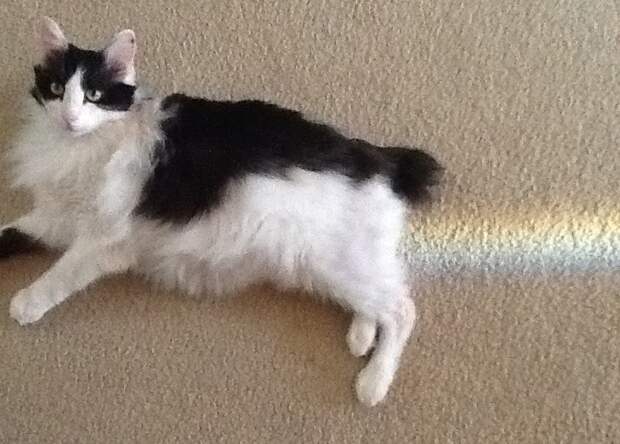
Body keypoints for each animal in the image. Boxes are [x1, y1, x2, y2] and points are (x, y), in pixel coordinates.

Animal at [1, 17, 441, 406]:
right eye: (57, 88)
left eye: (93, 95)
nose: (70, 117)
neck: (77, 147)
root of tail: (377, 156)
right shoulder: (55, 219)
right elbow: (11, 232)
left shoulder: (102, 237)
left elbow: (59, 274)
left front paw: (25, 304)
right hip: (328, 267)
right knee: (378, 302)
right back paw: (360, 337)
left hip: (331, 261)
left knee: (401, 310)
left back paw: (373, 382)